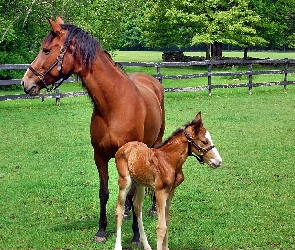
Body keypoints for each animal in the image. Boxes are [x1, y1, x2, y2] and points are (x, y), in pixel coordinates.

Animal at [20, 16, 166, 243]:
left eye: (45, 50)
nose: (25, 83)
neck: (114, 105)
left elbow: (132, 193)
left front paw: (135, 235)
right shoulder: (100, 156)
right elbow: (104, 192)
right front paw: (101, 231)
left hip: (155, 143)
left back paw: (151, 209)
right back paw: (125, 212)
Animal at [114, 112, 223, 249]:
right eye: (204, 141)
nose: (218, 161)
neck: (169, 160)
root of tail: (124, 147)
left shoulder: (171, 191)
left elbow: (166, 221)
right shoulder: (160, 191)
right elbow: (161, 227)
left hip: (140, 184)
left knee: (137, 206)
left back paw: (146, 245)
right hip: (125, 180)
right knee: (120, 209)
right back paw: (118, 246)